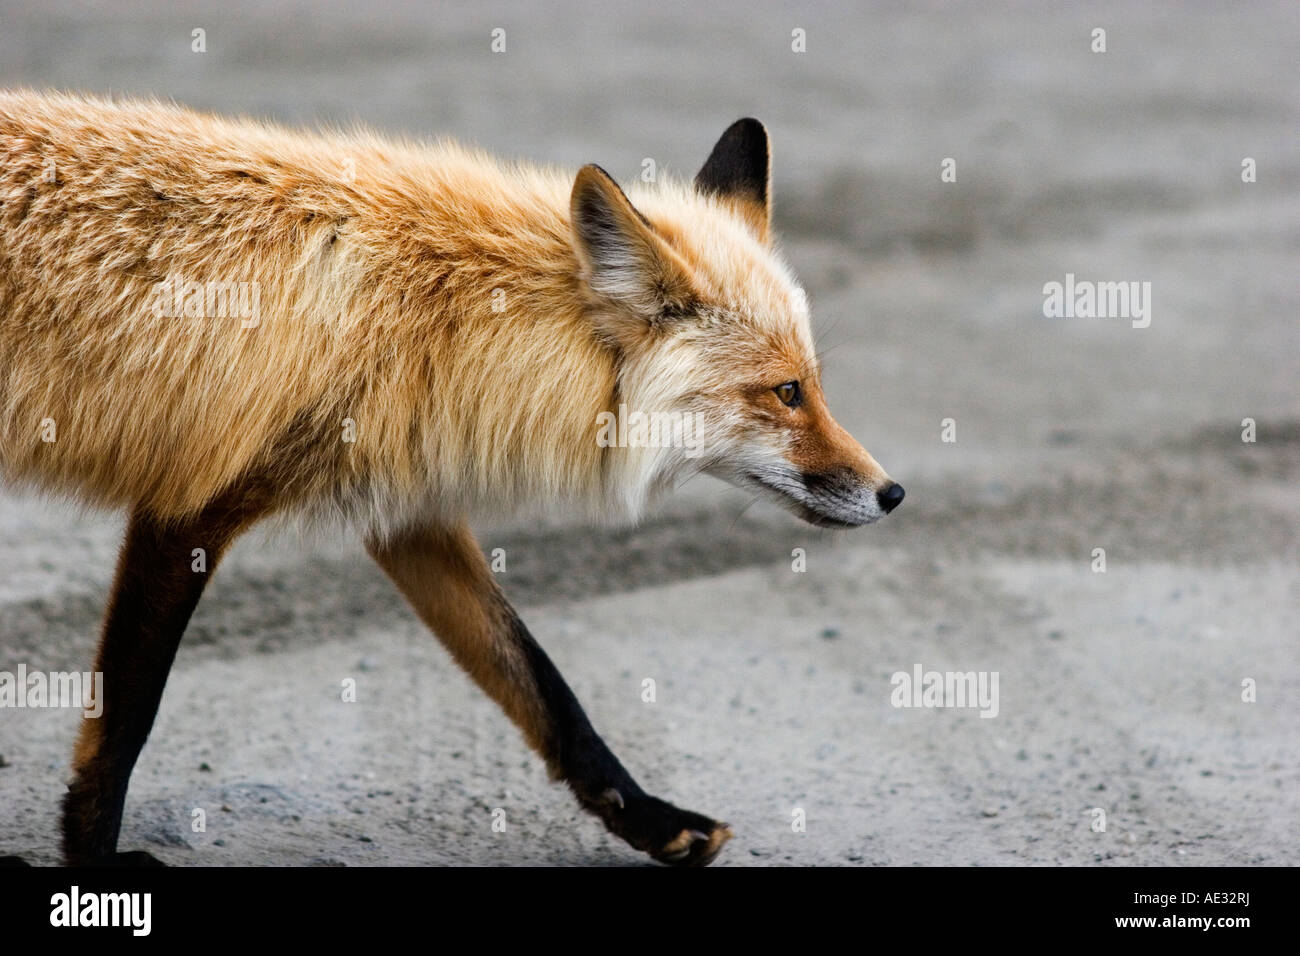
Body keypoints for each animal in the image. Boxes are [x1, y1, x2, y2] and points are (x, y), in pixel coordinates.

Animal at [0, 90, 903, 867]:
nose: (893, 493)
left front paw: (651, 821)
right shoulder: (189, 508)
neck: (428, 316)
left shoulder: (408, 512)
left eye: (816, 385)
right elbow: (128, 715)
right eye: (786, 392)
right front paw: (91, 857)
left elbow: (544, 689)